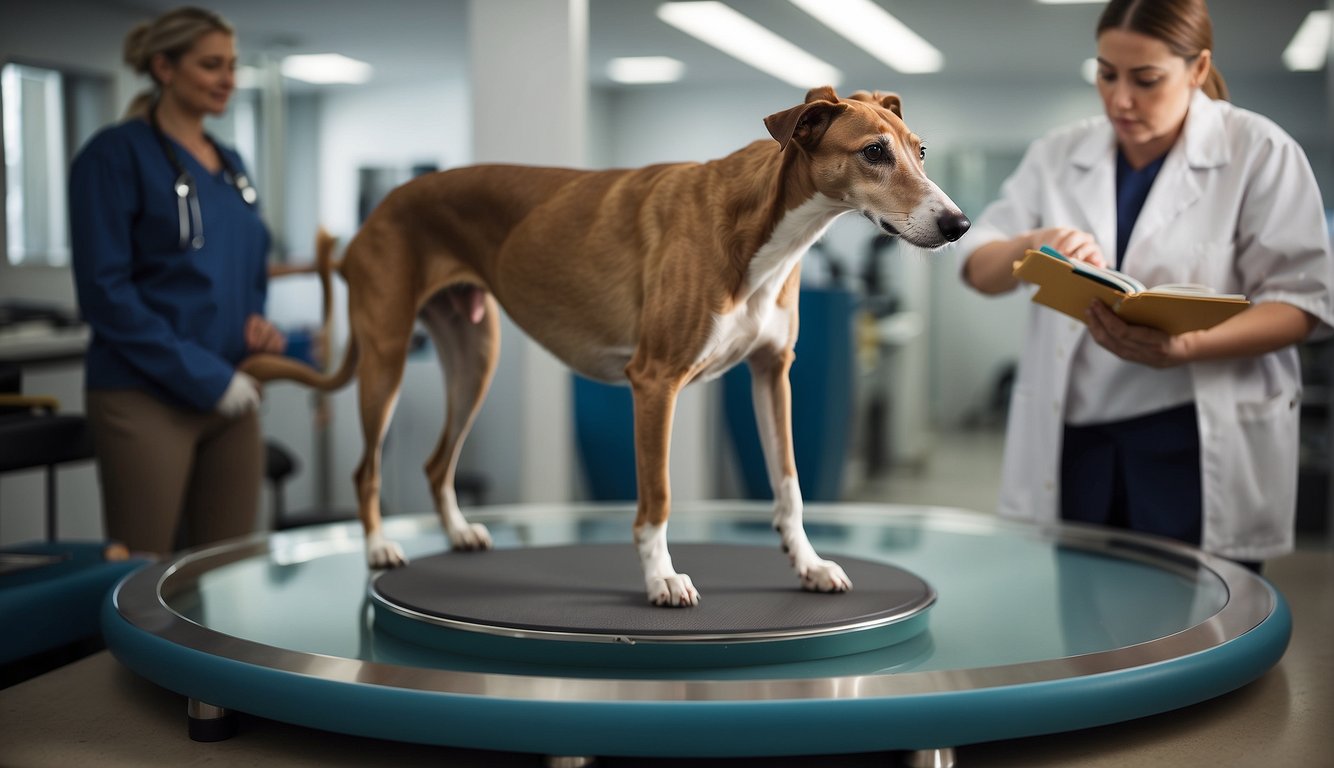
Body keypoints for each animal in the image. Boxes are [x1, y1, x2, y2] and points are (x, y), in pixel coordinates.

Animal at [242, 86, 971, 605]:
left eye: (919, 150)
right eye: (873, 152)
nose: (958, 224)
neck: (760, 228)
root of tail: (377, 211)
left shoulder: (773, 372)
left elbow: (789, 485)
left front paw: (809, 565)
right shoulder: (655, 382)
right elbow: (657, 498)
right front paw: (661, 580)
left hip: (474, 359)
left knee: (434, 461)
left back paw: (456, 532)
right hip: (388, 358)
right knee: (367, 469)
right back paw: (378, 549)